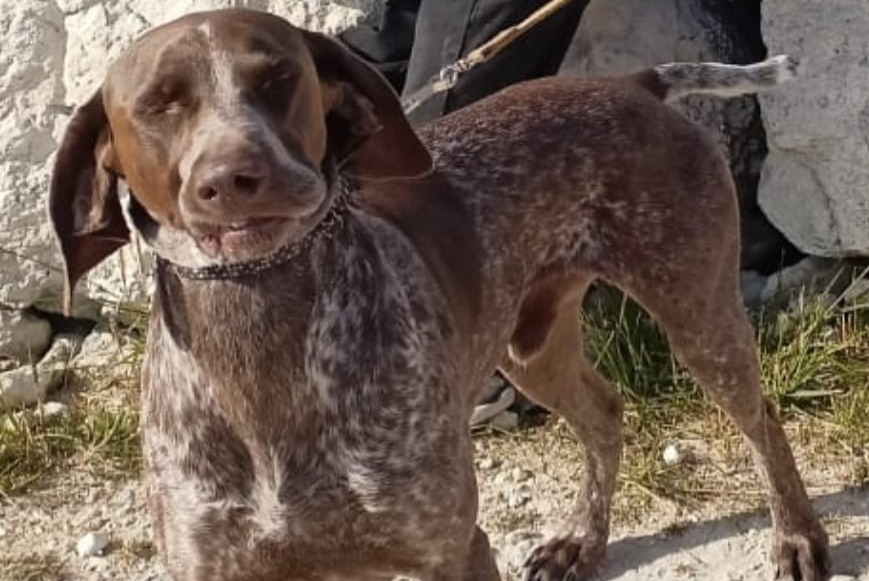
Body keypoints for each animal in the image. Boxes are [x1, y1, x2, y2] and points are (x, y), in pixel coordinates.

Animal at [45, 9, 828, 580]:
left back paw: (796, 537)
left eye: (280, 79)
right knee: (605, 412)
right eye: (160, 104)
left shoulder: (449, 549)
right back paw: (581, 539)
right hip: (530, 347)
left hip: (695, 313)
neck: (262, 339)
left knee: (758, 417)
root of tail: (636, 83)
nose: (236, 177)